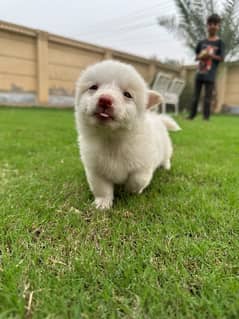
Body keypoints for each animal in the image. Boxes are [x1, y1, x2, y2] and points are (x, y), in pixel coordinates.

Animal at [74, 60, 179, 210]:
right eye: (93, 87)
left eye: (127, 94)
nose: (105, 99)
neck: (112, 140)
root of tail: (157, 117)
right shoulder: (96, 171)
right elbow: (102, 189)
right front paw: (103, 203)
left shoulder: (143, 167)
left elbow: (136, 181)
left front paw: (130, 191)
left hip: (166, 148)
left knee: (166, 157)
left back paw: (166, 166)